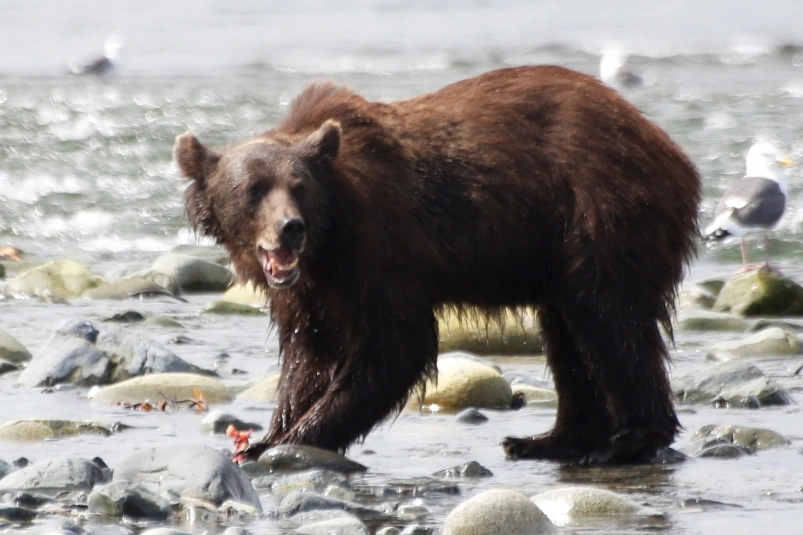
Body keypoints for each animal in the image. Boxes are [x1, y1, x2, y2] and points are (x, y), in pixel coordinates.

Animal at [177, 65, 704, 462]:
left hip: (600, 214)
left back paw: (627, 440)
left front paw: (294, 439)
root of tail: (675, 151)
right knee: (568, 333)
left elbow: (395, 346)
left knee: (609, 319)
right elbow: (310, 353)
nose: (290, 228)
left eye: (299, 186)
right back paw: (548, 440)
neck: (330, 242)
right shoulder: (310, 291)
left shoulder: (382, 251)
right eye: (252, 190)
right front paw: (268, 434)